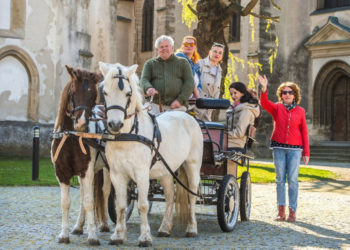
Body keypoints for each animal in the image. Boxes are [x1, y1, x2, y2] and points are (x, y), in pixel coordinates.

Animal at [50, 65, 110, 245]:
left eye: (92, 95)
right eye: (73, 92)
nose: (82, 123)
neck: (70, 137)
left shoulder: (86, 171)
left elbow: (90, 201)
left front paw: (92, 236)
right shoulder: (62, 173)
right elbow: (66, 202)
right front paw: (64, 234)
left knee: (105, 191)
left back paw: (105, 224)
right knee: (85, 193)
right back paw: (78, 226)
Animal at [99, 62, 202, 246]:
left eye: (128, 93)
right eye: (104, 92)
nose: (115, 124)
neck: (127, 136)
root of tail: (187, 115)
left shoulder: (141, 173)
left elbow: (142, 205)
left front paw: (145, 237)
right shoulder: (117, 174)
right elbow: (121, 205)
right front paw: (118, 235)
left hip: (193, 166)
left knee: (191, 195)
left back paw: (191, 229)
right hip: (167, 172)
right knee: (170, 196)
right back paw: (165, 228)